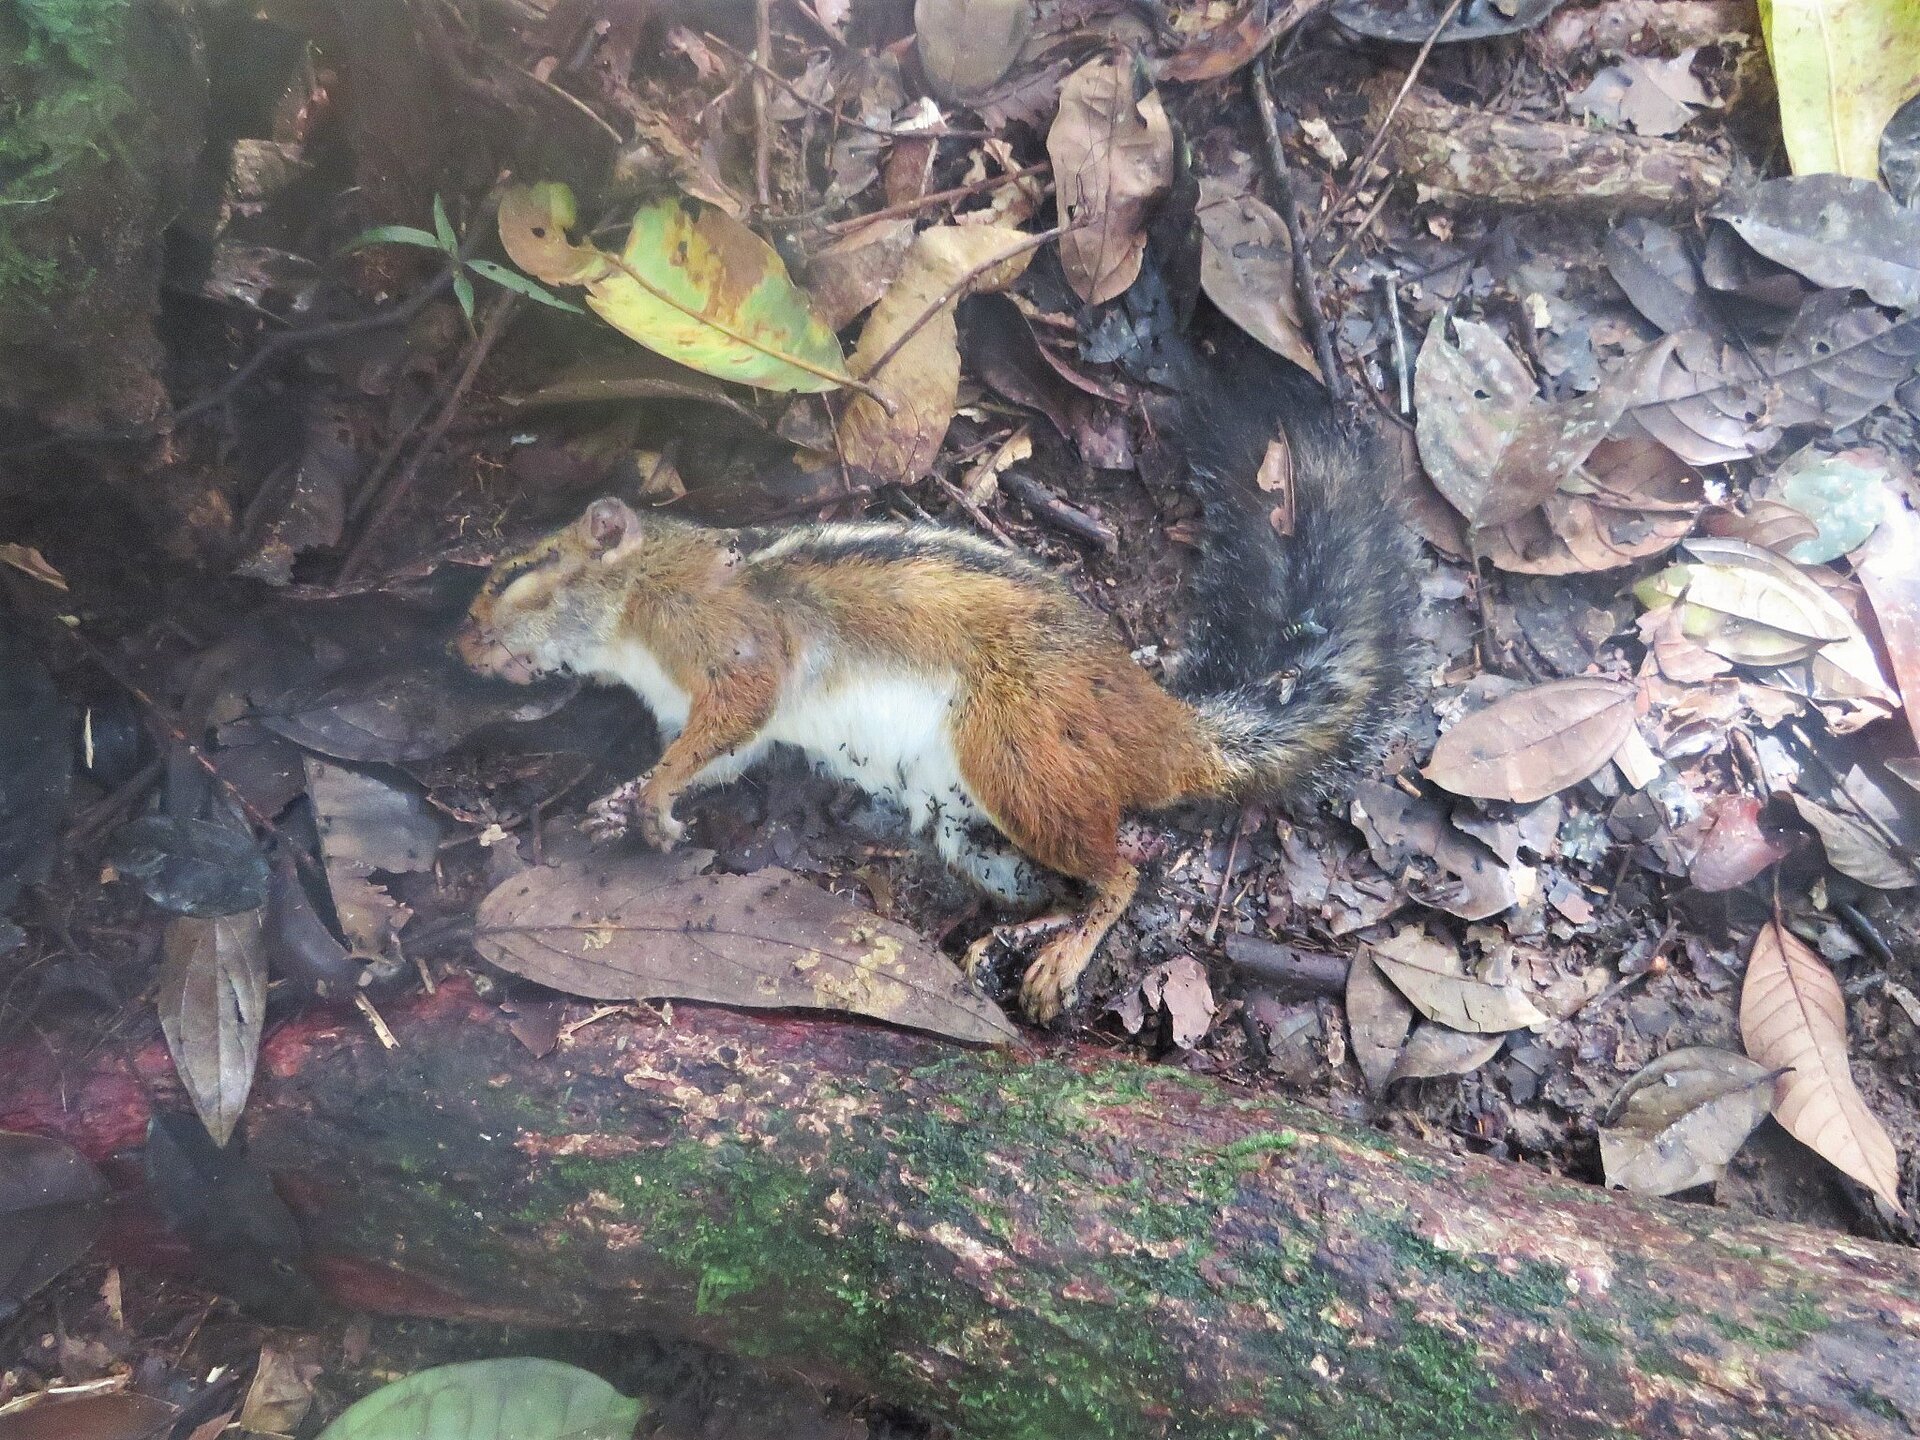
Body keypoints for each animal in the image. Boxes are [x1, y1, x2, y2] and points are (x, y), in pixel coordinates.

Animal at [457, 323, 1418, 1022]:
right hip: (966, 819)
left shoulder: (734, 652)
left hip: (1016, 754)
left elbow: (726, 721)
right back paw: (1020, 936)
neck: (645, 594)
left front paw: (653, 795)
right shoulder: (729, 726)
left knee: (1124, 873)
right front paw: (622, 798)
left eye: (517, 572)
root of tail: (1163, 724)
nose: (460, 649)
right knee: (1065, 877)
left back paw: (1062, 955)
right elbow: (723, 756)